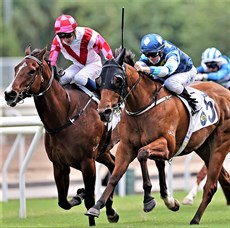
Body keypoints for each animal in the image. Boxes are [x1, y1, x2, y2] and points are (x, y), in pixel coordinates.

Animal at [4, 45, 120, 226]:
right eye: (16, 68)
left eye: (31, 71)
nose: (9, 94)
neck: (66, 115)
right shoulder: (59, 164)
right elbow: (63, 202)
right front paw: (79, 194)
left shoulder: (87, 161)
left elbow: (89, 201)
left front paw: (89, 205)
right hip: (102, 152)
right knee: (113, 165)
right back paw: (110, 210)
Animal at [86, 47, 230, 224]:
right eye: (98, 80)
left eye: (117, 80)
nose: (103, 111)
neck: (143, 106)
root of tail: (225, 92)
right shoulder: (126, 147)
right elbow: (115, 176)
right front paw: (97, 207)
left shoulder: (167, 145)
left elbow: (142, 154)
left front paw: (149, 199)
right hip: (204, 147)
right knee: (222, 179)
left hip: (220, 145)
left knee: (210, 185)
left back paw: (195, 218)